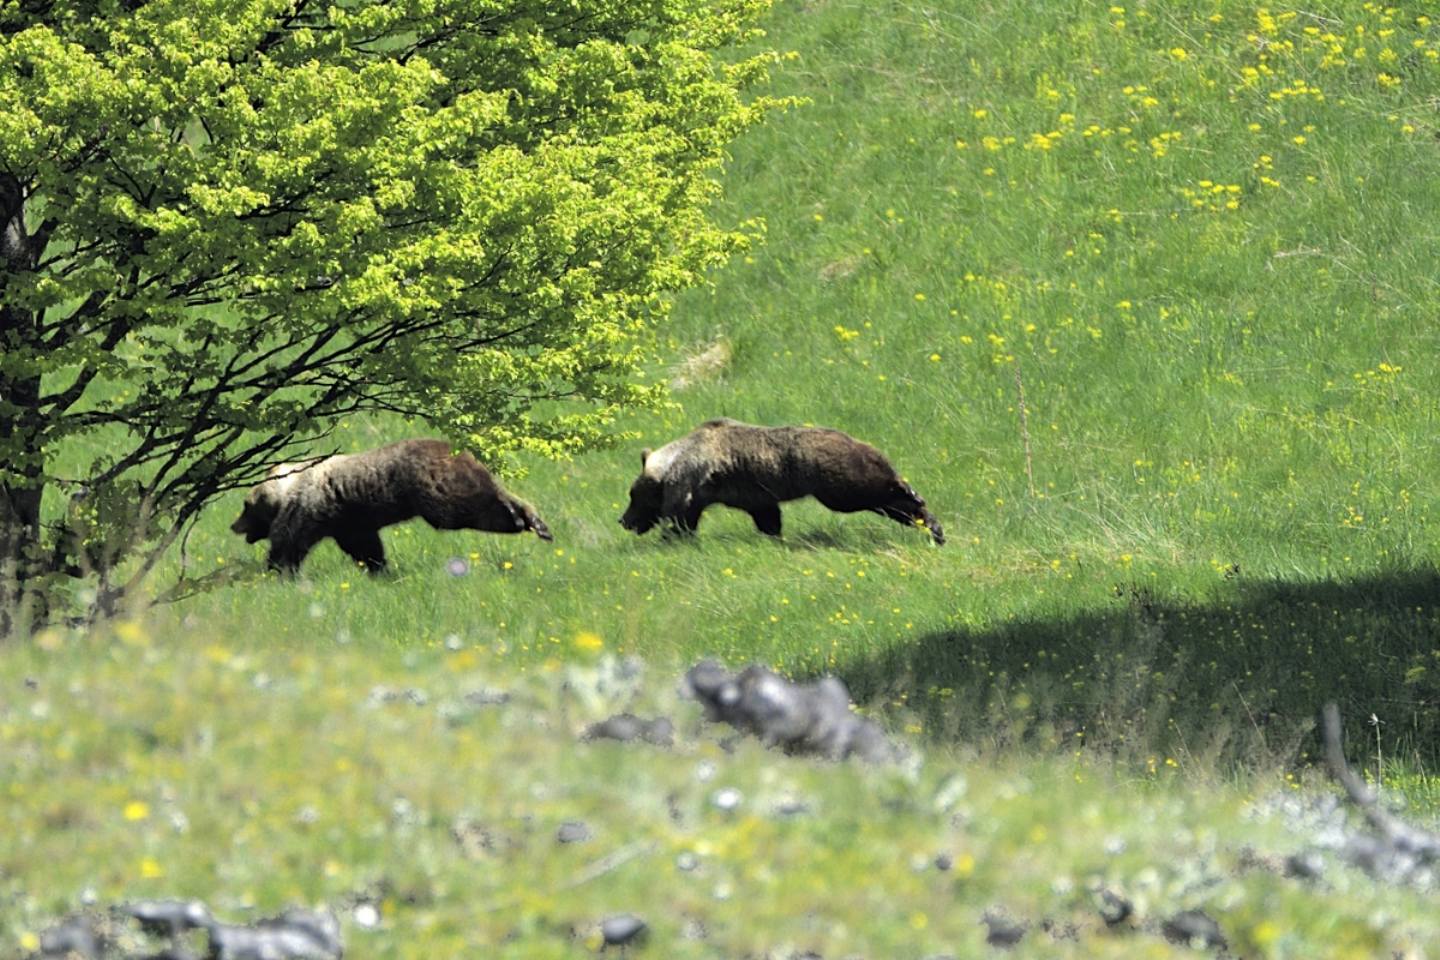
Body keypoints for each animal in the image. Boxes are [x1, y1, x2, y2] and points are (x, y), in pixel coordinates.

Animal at [233, 440, 552, 575]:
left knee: (470, 508)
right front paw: (379, 569)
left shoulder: (307, 509)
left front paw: (278, 570)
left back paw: (523, 520)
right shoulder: (348, 521)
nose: (234, 525)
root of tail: (461, 451)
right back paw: (535, 520)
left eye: (246, 505)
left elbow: (288, 542)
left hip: (435, 490)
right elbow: (365, 548)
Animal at [619, 417, 944, 544]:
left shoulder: (690, 482)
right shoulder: (751, 493)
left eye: (633, 495)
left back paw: (913, 498)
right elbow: (767, 516)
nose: (623, 520)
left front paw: (671, 538)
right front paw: (773, 536)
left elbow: (680, 516)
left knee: (872, 490)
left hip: (835, 482)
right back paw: (933, 525)